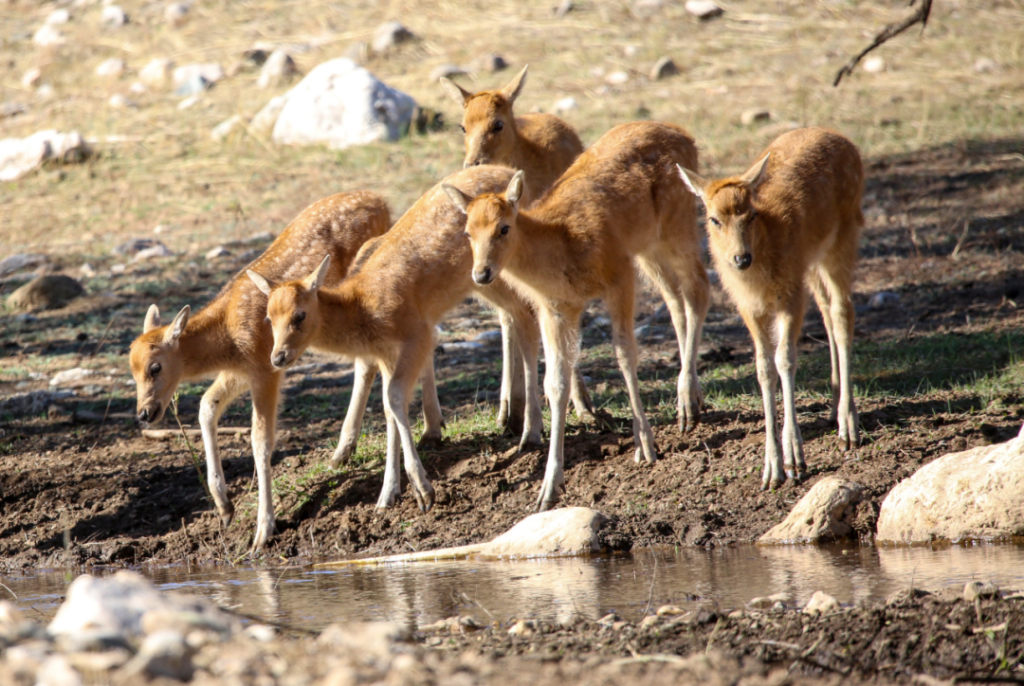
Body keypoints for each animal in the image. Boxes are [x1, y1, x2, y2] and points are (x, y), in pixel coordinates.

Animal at [129, 189, 444, 552]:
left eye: (155, 367)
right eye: (131, 370)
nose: (144, 413)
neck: (227, 335)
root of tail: (380, 199)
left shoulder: (264, 368)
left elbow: (260, 440)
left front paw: (263, 531)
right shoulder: (242, 369)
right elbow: (206, 405)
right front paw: (224, 507)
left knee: (376, 357)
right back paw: (410, 433)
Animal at [246, 166, 548, 516]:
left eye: (300, 316)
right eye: (269, 318)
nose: (278, 357)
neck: (364, 307)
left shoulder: (417, 334)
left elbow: (393, 398)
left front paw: (423, 488)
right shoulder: (387, 354)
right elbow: (391, 407)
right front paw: (388, 494)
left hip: (498, 271)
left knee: (529, 315)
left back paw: (533, 432)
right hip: (485, 281)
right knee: (518, 315)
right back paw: (518, 419)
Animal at [436, 67, 598, 427]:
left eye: (497, 123)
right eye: (462, 125)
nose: (473, 163)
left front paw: (583, 406)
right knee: (507, 318)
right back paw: (507, 408)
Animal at [444, 120, 708, 513]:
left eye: (504, 227)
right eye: (467, 232)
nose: (481, 273)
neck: (564, 249)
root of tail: (686, 136)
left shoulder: (618, 274)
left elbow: (625, 355)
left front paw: (645, 446)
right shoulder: (557, 308)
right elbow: (555, 383)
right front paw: (548, 487)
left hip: (679, 223)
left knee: (698, 290)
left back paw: (686, 403)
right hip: (649, 248)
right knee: (676, 302)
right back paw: (692, 400)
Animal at [679, 126, 864, 491]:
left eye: (750, 215)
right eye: (713, 219)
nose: (741, 258)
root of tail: (842, 138)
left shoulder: (790, 296)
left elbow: (785, 360)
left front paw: (795, 460)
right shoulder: (749, 308)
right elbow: (763, 368)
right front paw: (771, 469)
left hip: (843, 237)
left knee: (842, 312)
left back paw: (847, 425)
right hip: (812, 263)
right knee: (826, 309)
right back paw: (834, 404)